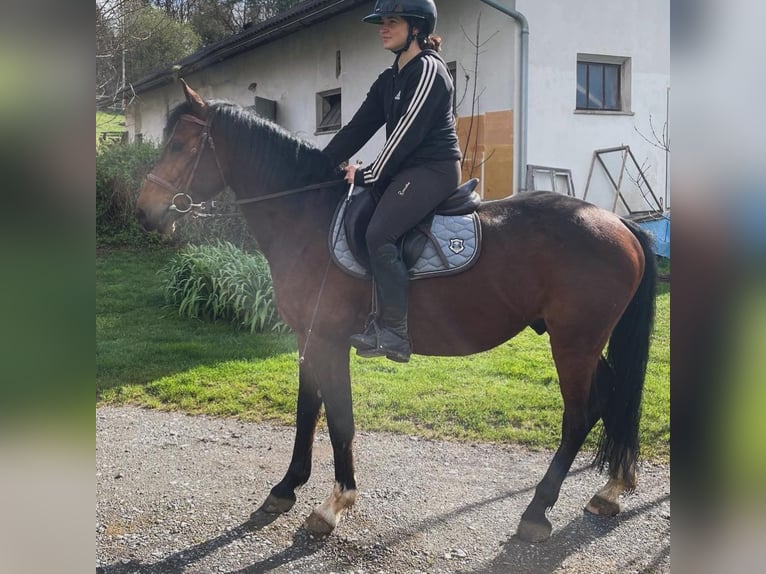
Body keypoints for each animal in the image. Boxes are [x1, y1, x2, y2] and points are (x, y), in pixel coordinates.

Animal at [135, 82, 656, 544]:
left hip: (573, 343)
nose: (144, 210)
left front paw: (334, 504)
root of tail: (617, 222)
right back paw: (611, 488)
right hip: (582, 341)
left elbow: (339, 417)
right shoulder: (308, 336)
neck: (309, 215)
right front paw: (285, 489)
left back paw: (537, 511)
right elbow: (308, 411)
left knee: (579, 415)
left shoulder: (328, 339)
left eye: (180, 144)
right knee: (613, 396)